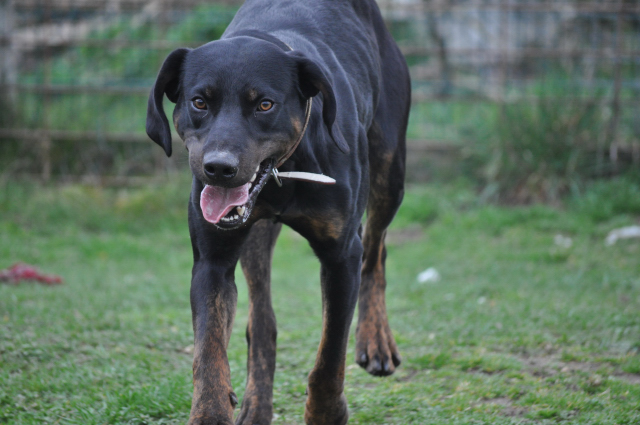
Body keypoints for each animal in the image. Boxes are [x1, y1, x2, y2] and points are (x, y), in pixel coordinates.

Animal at [146, 1, 410, 422]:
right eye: (199, 102)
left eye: (265, 104)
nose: (218, 168)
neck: (283, 173)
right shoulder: (212, 262)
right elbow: (209, 352)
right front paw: (211, 412)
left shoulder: (341, 257)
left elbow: (329, 353)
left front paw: (325, 412)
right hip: (256, 237)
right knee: (261, 321)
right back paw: (256, 405)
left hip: (389, 174)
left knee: (376, 250)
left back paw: (375, 340)